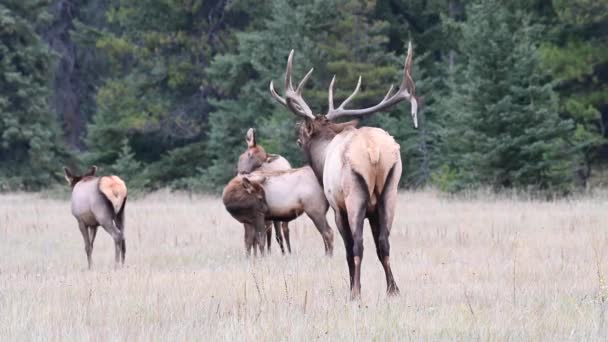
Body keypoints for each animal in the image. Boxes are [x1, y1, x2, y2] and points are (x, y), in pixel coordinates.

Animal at [270, 42, 418, 300]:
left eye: (300, 139)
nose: (297, 133)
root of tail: (373, 151)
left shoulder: (337, 207)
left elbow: (348, 248)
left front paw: (351, 288)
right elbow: (379, 244)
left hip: (354, 195)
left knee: (358, 244)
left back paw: (356, 293)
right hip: (390, 192)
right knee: (384, 241)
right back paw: (393, 290)